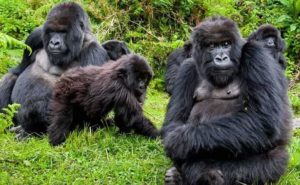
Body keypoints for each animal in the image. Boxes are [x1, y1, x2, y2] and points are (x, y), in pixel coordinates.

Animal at [4, 2, 110, 138]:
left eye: (63, 32)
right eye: (52, 31)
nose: (54, 42)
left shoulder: (94, 51)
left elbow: (90, 105)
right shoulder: (36, 35)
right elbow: (18, 70)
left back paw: (28, 131)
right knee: (11, 77)